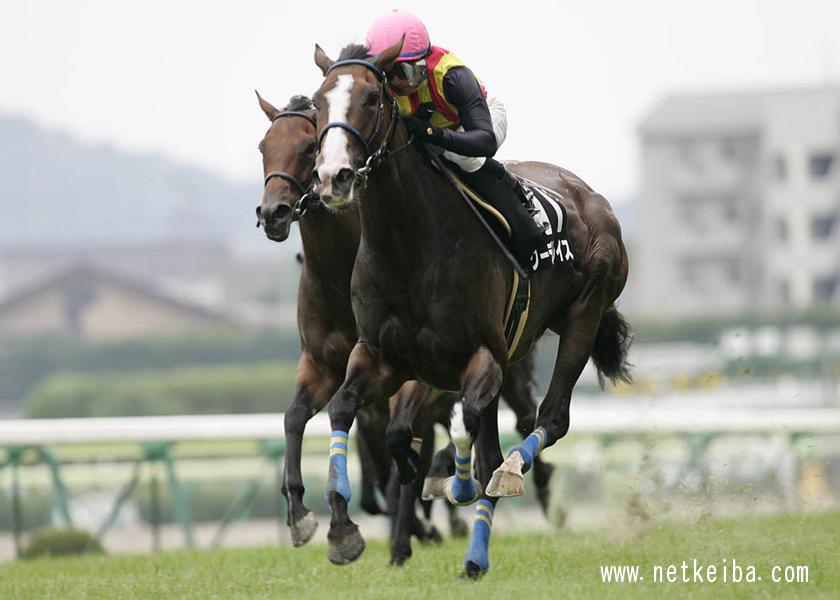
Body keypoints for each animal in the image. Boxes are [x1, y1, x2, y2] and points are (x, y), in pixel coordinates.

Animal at [255, 93, 554, 565]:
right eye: (263, 147)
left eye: (307, 147)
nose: (273, 213)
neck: (339, 276)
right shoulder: (326, 369)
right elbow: (295, 418)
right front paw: (302, 514)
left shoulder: (415, 380)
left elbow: (399, 459)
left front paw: (403, 538)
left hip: (508, 370)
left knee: (523, 418)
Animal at [310, 40, 631, 578]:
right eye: (318, 103)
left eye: (373, 98)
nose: (333, 176)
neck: (408, 246)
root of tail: (592, 198)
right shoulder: (382, 357)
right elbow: (347, 410)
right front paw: (343, 533)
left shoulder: (483, 355)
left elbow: (469, 421)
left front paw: (449, 483)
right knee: (492, 447)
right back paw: (473, 554)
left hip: (583, 315)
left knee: (548, 421)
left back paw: (504, 481)